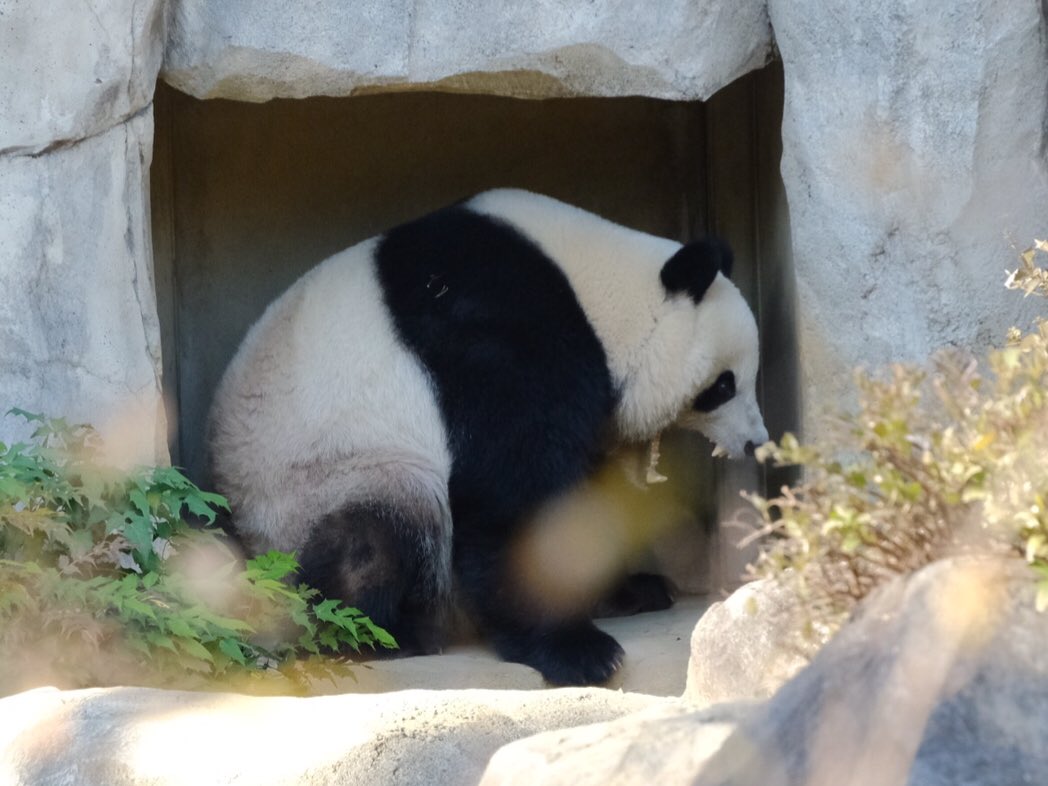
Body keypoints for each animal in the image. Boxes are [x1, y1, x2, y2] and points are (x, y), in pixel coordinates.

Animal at [209, 189, 769, 686]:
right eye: (723, 385)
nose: (756, 442)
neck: (598, 294)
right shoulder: (500, 335)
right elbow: (510, 491)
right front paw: (581, 652)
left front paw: (630, 590)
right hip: (321, 484)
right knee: (379, 532)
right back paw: (390, 633)